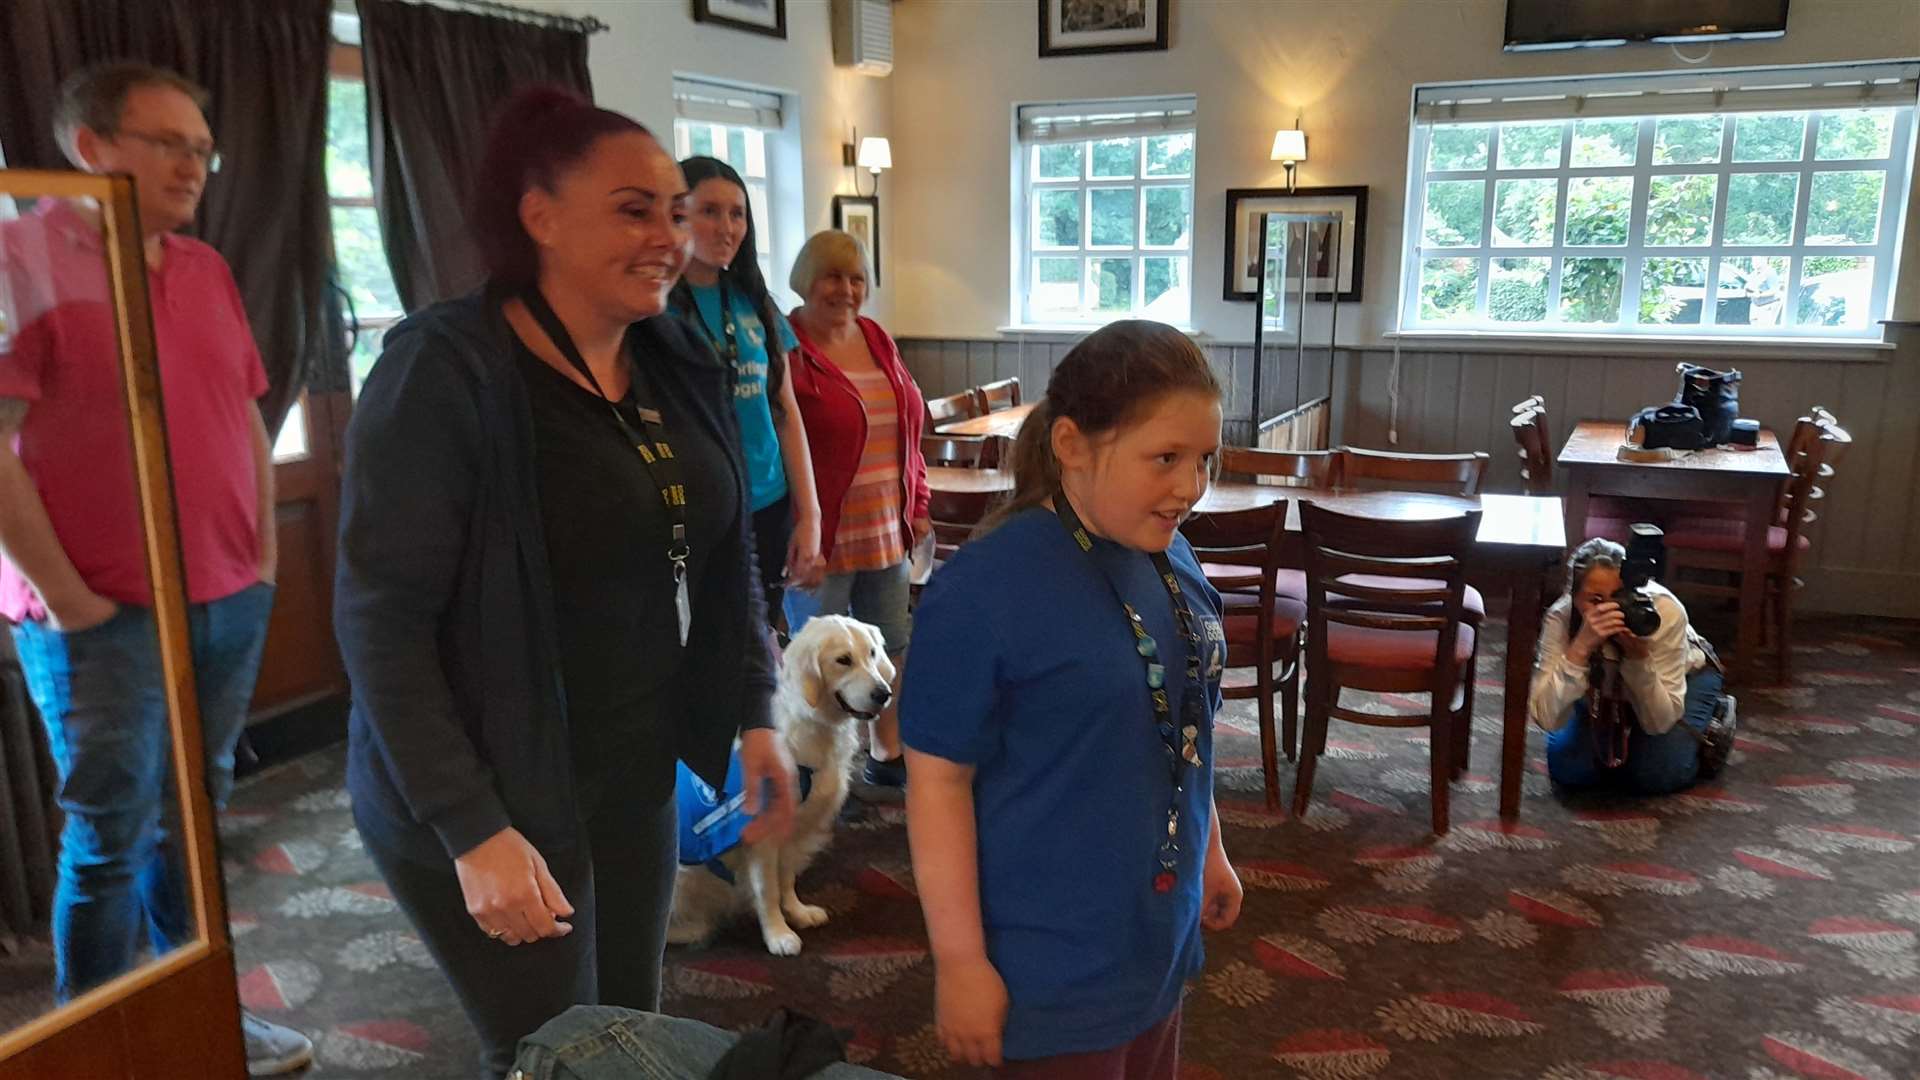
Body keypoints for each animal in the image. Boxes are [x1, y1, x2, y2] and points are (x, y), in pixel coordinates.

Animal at [668, 614, 890, 949]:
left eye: (873, 654)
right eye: (843, 660)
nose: (884, 693)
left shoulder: (794, 832)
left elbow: (786, 879)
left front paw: (797, 912)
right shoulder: (763, 835)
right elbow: (767, 889)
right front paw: (778, 935)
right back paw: (695, 929)